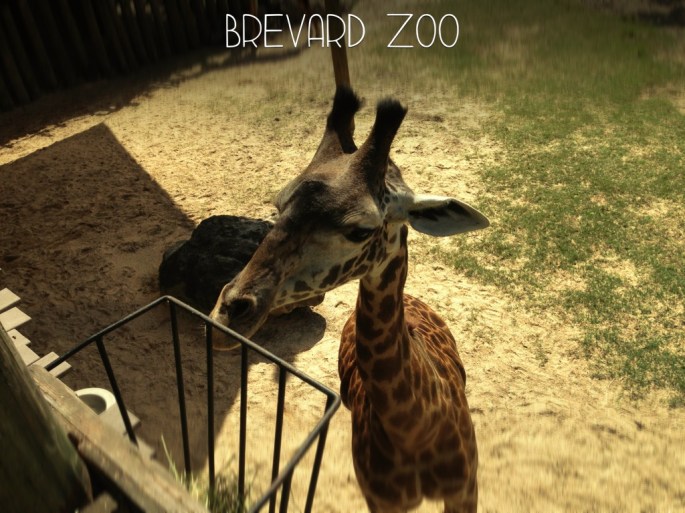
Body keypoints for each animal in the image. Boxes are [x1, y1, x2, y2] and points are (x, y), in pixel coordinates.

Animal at [210, 86, 489, 512]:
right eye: (277, 205)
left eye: (360, 230)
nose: (227, 314)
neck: (416, 429)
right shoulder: (381, 501)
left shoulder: (465, 490)